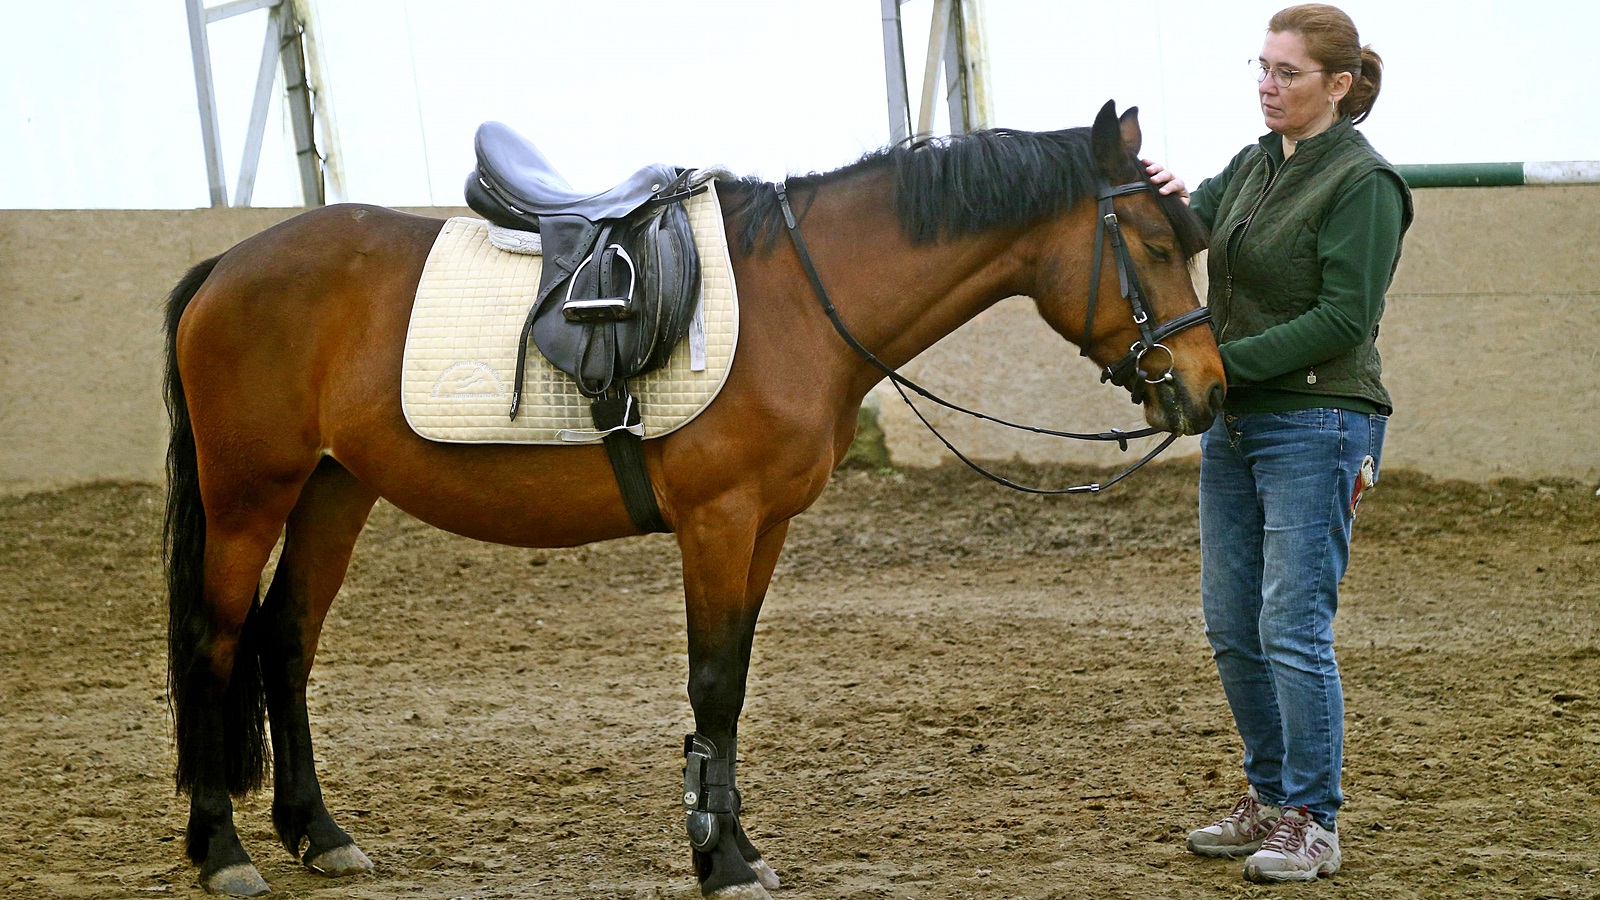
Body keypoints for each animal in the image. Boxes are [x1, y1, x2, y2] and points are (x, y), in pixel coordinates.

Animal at [162, 101, 1222, 890]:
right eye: (1154, 242)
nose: (1208, 389)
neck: (802, 299)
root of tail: (229, 266)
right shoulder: (718, 522)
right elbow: (711, 682)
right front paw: (719, 863)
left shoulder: (765, 528)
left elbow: (735, 684)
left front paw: (736, 845)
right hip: (251, 493)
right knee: (217, 641)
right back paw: (224, 850)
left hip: (333, 489)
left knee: (285, 639)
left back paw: (319, 833)